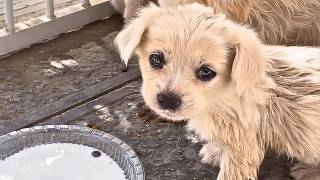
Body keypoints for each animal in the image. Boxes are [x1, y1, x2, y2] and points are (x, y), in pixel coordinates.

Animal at [114, 3, 320, 180]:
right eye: (156, 59)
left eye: (206, 72)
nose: (168, 99)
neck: (220, 98)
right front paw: (215, 151)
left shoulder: (243, 149)